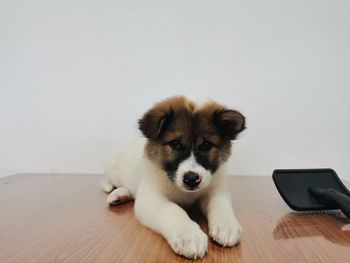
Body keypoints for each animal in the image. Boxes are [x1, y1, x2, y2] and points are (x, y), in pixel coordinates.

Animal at [103, 97, 246, 260]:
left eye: (206, 145)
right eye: (176, 144)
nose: (191, 179)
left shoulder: (215, 190)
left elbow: (221, 206)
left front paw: (227, 225)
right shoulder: (150, 197)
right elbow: (172, 209)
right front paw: (189, 235)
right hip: (115, 171)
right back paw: (116, 192)